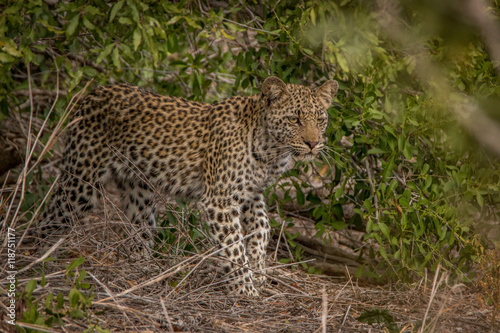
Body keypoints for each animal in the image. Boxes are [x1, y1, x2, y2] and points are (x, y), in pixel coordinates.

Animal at [37, 76, 338, 294]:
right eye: (294, 119)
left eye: (320, 119)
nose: (313, 143)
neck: (271, 150)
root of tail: (90, 94)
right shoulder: (220, 200)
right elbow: (234, 248)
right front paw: (247, 291)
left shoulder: (251, 195)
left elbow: (262, 229)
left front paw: (259, 270)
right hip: (80, 184)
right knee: (48, 218)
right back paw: (37, 259)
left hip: (139, 189)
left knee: (140, 230)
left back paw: (143, 271)